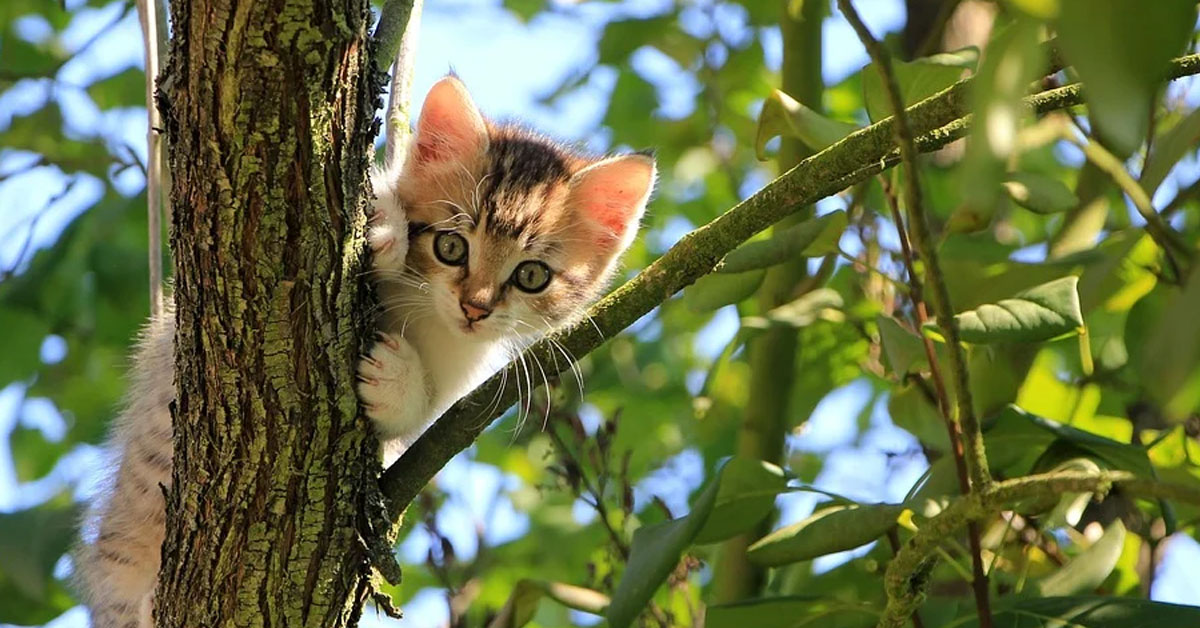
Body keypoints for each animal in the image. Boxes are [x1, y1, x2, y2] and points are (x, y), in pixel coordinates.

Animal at [75, 75, 657, 628]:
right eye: (451, 245)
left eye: (532, 275)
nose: (475, 307)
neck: (424, 313)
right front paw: (383, 226)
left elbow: (418, 415)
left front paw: (396, 380)